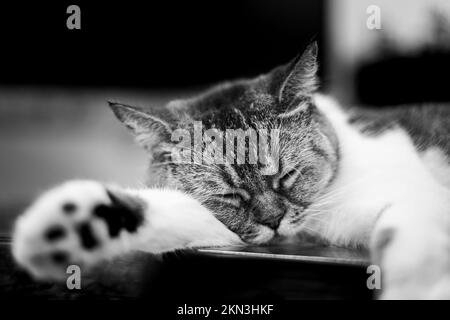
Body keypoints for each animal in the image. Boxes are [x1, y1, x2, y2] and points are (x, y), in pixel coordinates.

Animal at [10, 43, 450, 300]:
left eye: (286, 175)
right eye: (228, 196)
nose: (274, 221)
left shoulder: (417, 199)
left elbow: (414, 247)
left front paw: (417, 287)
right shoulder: (229, 231)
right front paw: (68, 226)